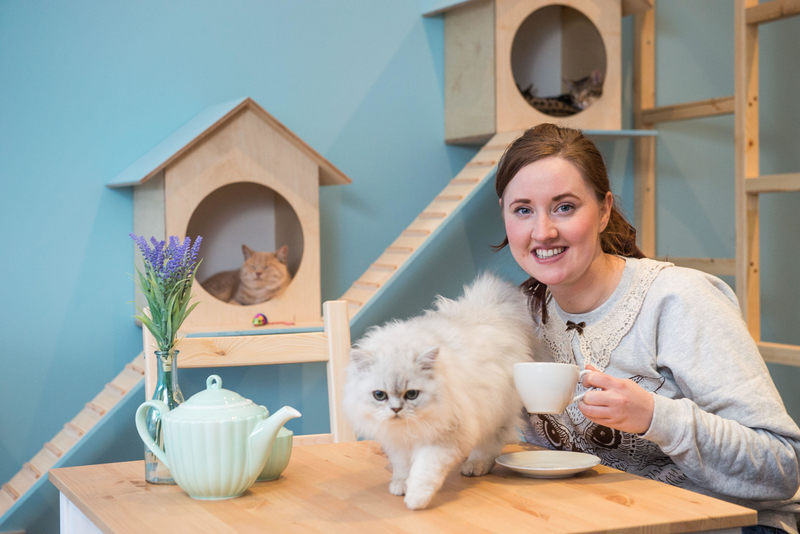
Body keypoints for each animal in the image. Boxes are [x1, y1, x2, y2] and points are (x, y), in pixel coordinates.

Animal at [344, 274, 536, 512]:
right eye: (379, 395)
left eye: (412, 395)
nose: (396, 409)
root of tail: (488, 309)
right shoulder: (397, 442)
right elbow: (402, 468)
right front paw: (400, 485)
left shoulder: (444, 437)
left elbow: (424, 472)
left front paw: (415, 500)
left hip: (495, 413)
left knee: (489, 446)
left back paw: (475, 466)